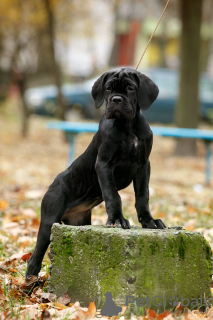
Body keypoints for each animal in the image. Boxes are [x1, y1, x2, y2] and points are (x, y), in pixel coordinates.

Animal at [25, 68, 166, 280]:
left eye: (131, 88)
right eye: (108, 88)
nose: (116, 99)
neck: (127, 127)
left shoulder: (143, 165)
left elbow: (143, 196)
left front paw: (149, 221)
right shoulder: (104, 164)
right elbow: (112, 195)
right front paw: (117, 219)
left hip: (76, 224)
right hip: (49, 220)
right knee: (35, 256)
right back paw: (30, 282)